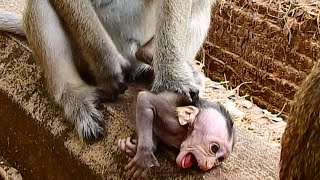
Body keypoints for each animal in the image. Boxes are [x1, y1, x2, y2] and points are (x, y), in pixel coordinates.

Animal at [1, 0, 215, 141]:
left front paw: (173, 80)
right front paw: (108, 65)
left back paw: (152, 60)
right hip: (81, 55)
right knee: (38, 3)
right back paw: (75, 95)